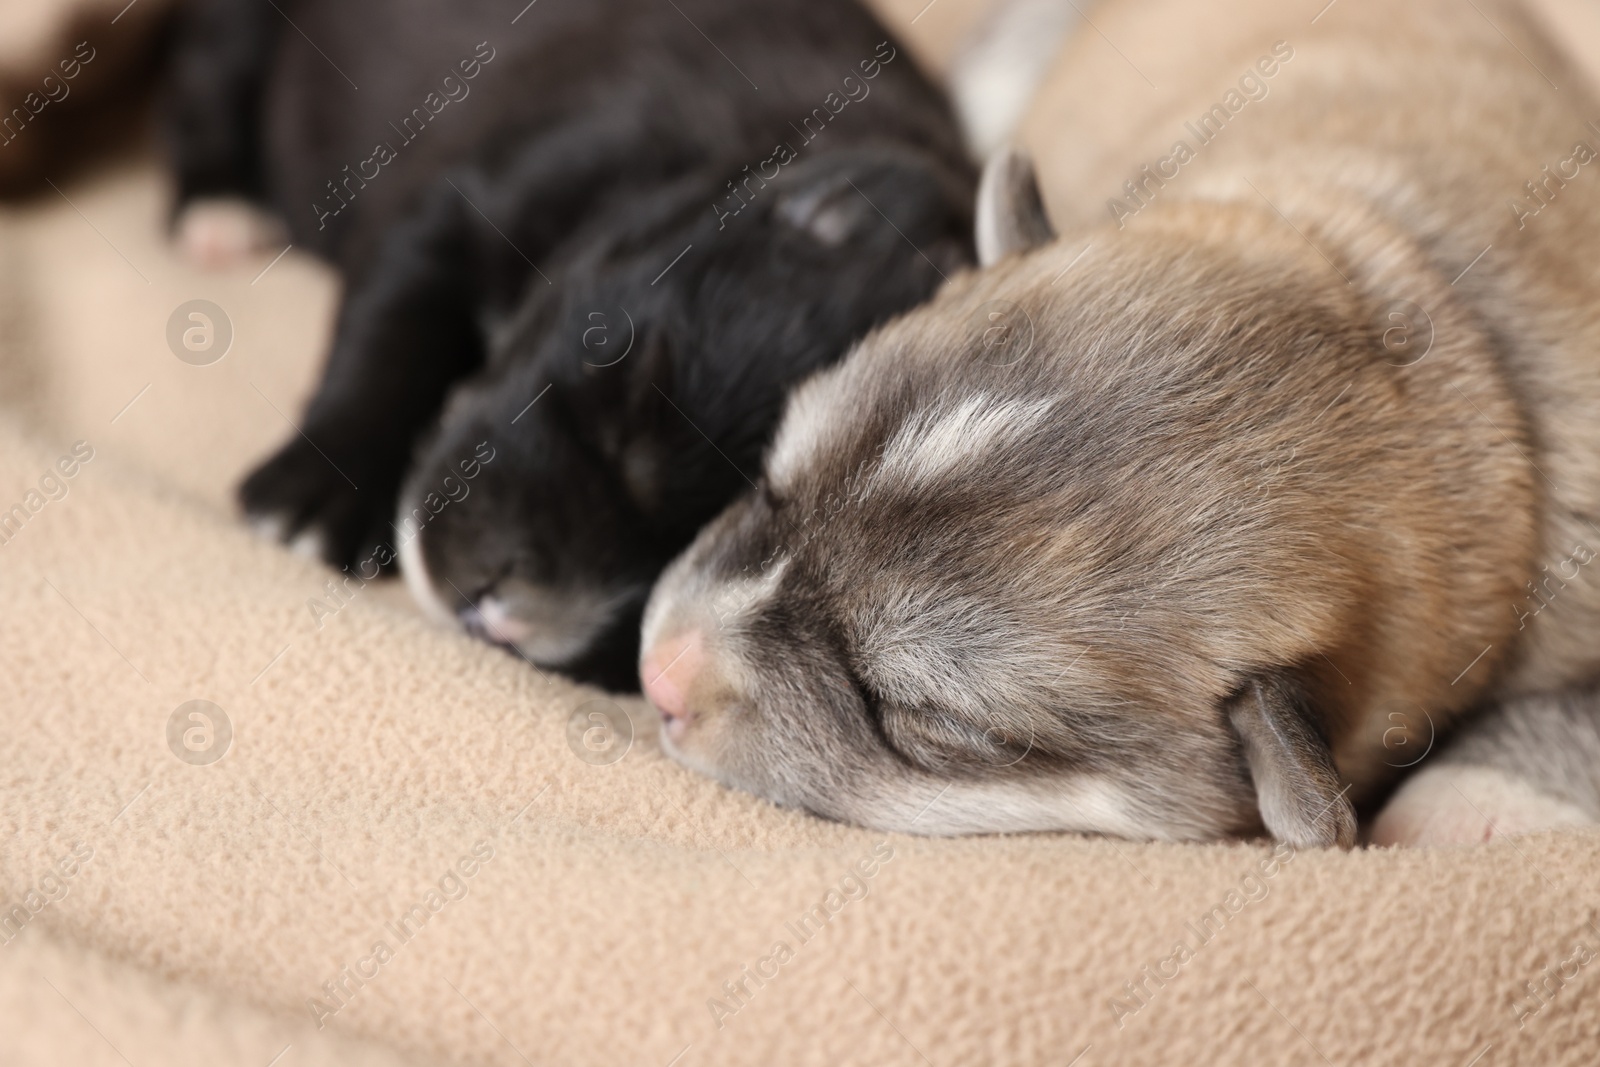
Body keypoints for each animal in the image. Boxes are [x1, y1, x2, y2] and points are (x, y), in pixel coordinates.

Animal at [172, 0, 972, 687]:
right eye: (628, 403)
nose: (502, 612)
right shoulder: (462, 197)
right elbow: (392, 336)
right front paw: (315, 493)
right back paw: (220, 209)